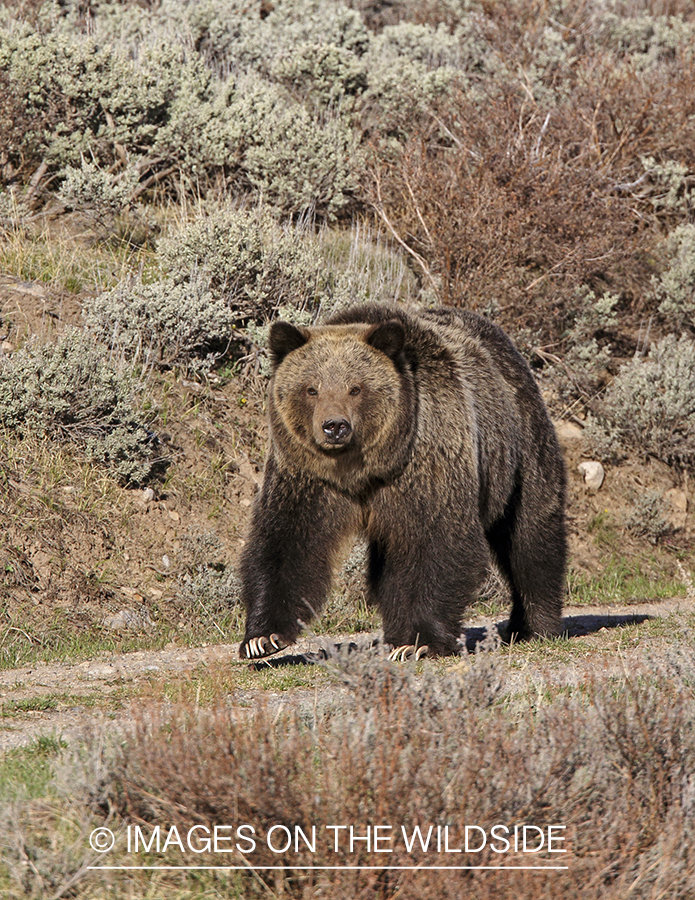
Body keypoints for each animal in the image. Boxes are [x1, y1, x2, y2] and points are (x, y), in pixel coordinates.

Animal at [239, 303, 567, 660]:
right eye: (311, 388)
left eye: (356, 388)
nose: (335, 426)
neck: (362, 471)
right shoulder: (306, 476)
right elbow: (287, 541)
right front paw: (262, 638)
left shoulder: (425, 464)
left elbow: (436, 544)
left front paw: (418, 641)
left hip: (518, 444)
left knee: (530, 534)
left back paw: (534, 625)